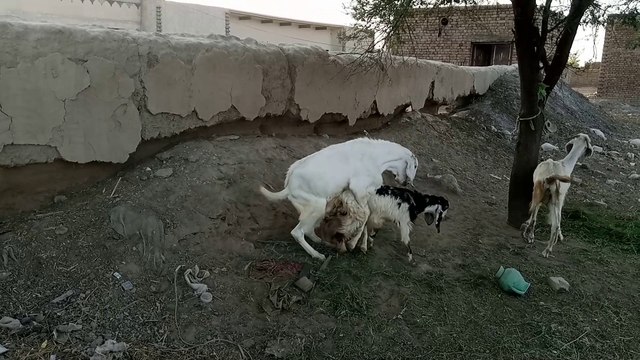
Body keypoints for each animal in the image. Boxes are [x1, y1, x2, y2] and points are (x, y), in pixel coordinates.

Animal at [260, 136, 420, 260]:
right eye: (415, 166)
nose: (408, 183)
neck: (376, 158)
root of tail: (288, 187)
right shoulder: (358, 189)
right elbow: (366, 215)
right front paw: (353, 243)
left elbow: (366, 216)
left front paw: (362, 245)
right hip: (316, 205)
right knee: (297, 232)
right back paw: (317, 255)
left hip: (318, 207)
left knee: (309, 229)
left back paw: (321, 241)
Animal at [320, 184, 450, 260]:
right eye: (445, 208)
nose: (445, 218)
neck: (417, 201)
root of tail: (345, 192)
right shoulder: (403, 221)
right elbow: (406, 239)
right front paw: (410, 256)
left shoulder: (379, 217)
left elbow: (372, 229)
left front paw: (368, 243)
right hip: (361, 210)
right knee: (354, 226)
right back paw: (349, 245)